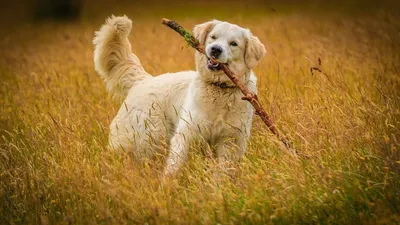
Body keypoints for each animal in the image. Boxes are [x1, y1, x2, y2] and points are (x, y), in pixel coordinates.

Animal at [93, 15, 266, 177]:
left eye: (233, 43)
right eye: (213, 37)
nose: (215, 49)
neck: (219, 90)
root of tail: (142, 80)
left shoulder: (230, 141)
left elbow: (221, 173)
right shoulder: (186, 134)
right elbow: (174, 165)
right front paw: (167, 184)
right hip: (142, 139)